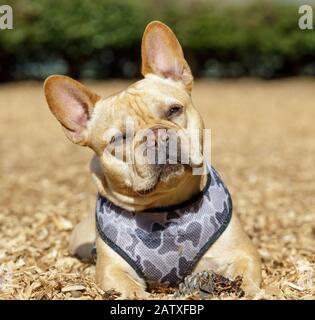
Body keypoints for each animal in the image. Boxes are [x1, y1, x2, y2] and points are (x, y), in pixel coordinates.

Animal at [43, 21, 262, 298]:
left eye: (174, 110)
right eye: (119, 138)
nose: (156, 135)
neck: (165, 205)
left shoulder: (241, 253)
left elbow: (244, 274)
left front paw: (250, 290)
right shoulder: (112, 270)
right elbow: (129, 288)